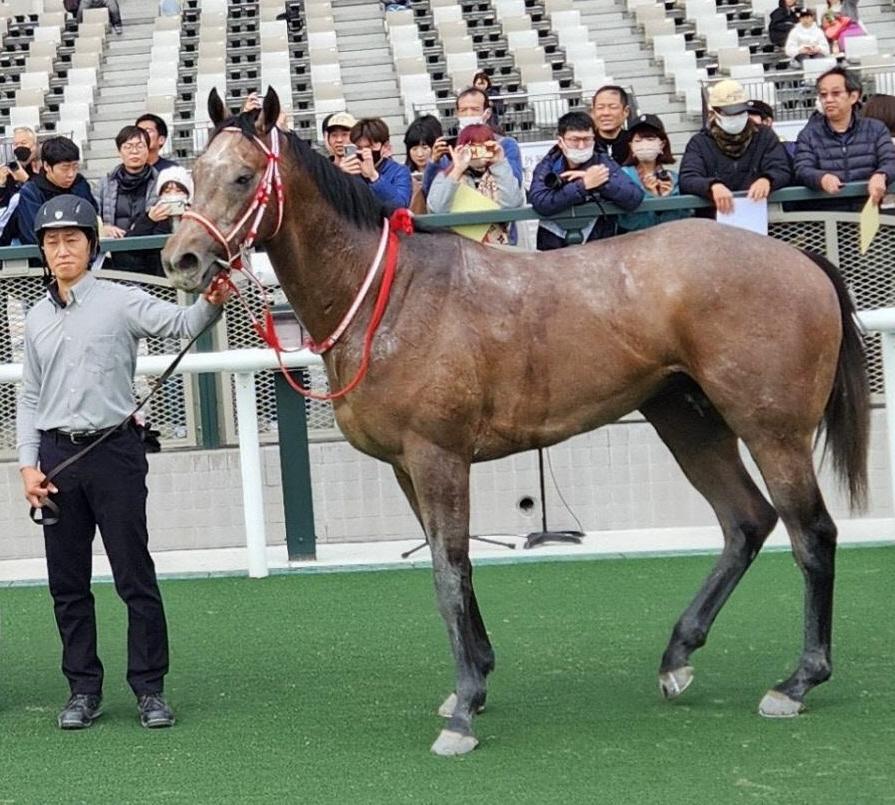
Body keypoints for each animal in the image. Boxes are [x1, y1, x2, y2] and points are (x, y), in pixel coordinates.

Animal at [163, 91, 868, 756]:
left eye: (244, 176)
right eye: (194, 172)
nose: (182, 260)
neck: (391, 297)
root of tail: (799, 262)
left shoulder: (438, 457)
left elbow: (449, 572)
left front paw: (465, 712)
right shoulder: (407, 468)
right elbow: (451, 563)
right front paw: (472, 682)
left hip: (771, 431)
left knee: (812, 535)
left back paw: (797, 681)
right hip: (686, 420)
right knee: (745, 522)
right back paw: (677, 658)